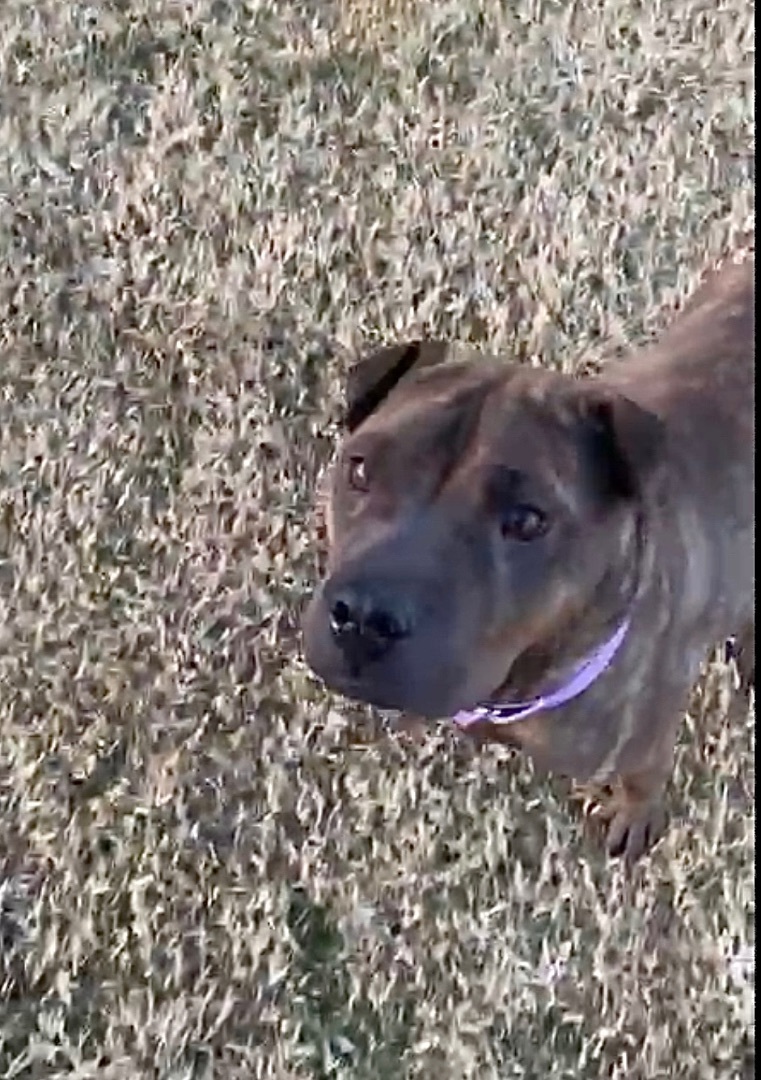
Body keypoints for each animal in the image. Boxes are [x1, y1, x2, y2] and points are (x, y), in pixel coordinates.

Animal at [302, 248, 755, 864]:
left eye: (526, 520)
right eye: (361, 468)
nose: (364, 618)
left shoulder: (649, 735)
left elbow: (644, 779)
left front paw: (635, 816)